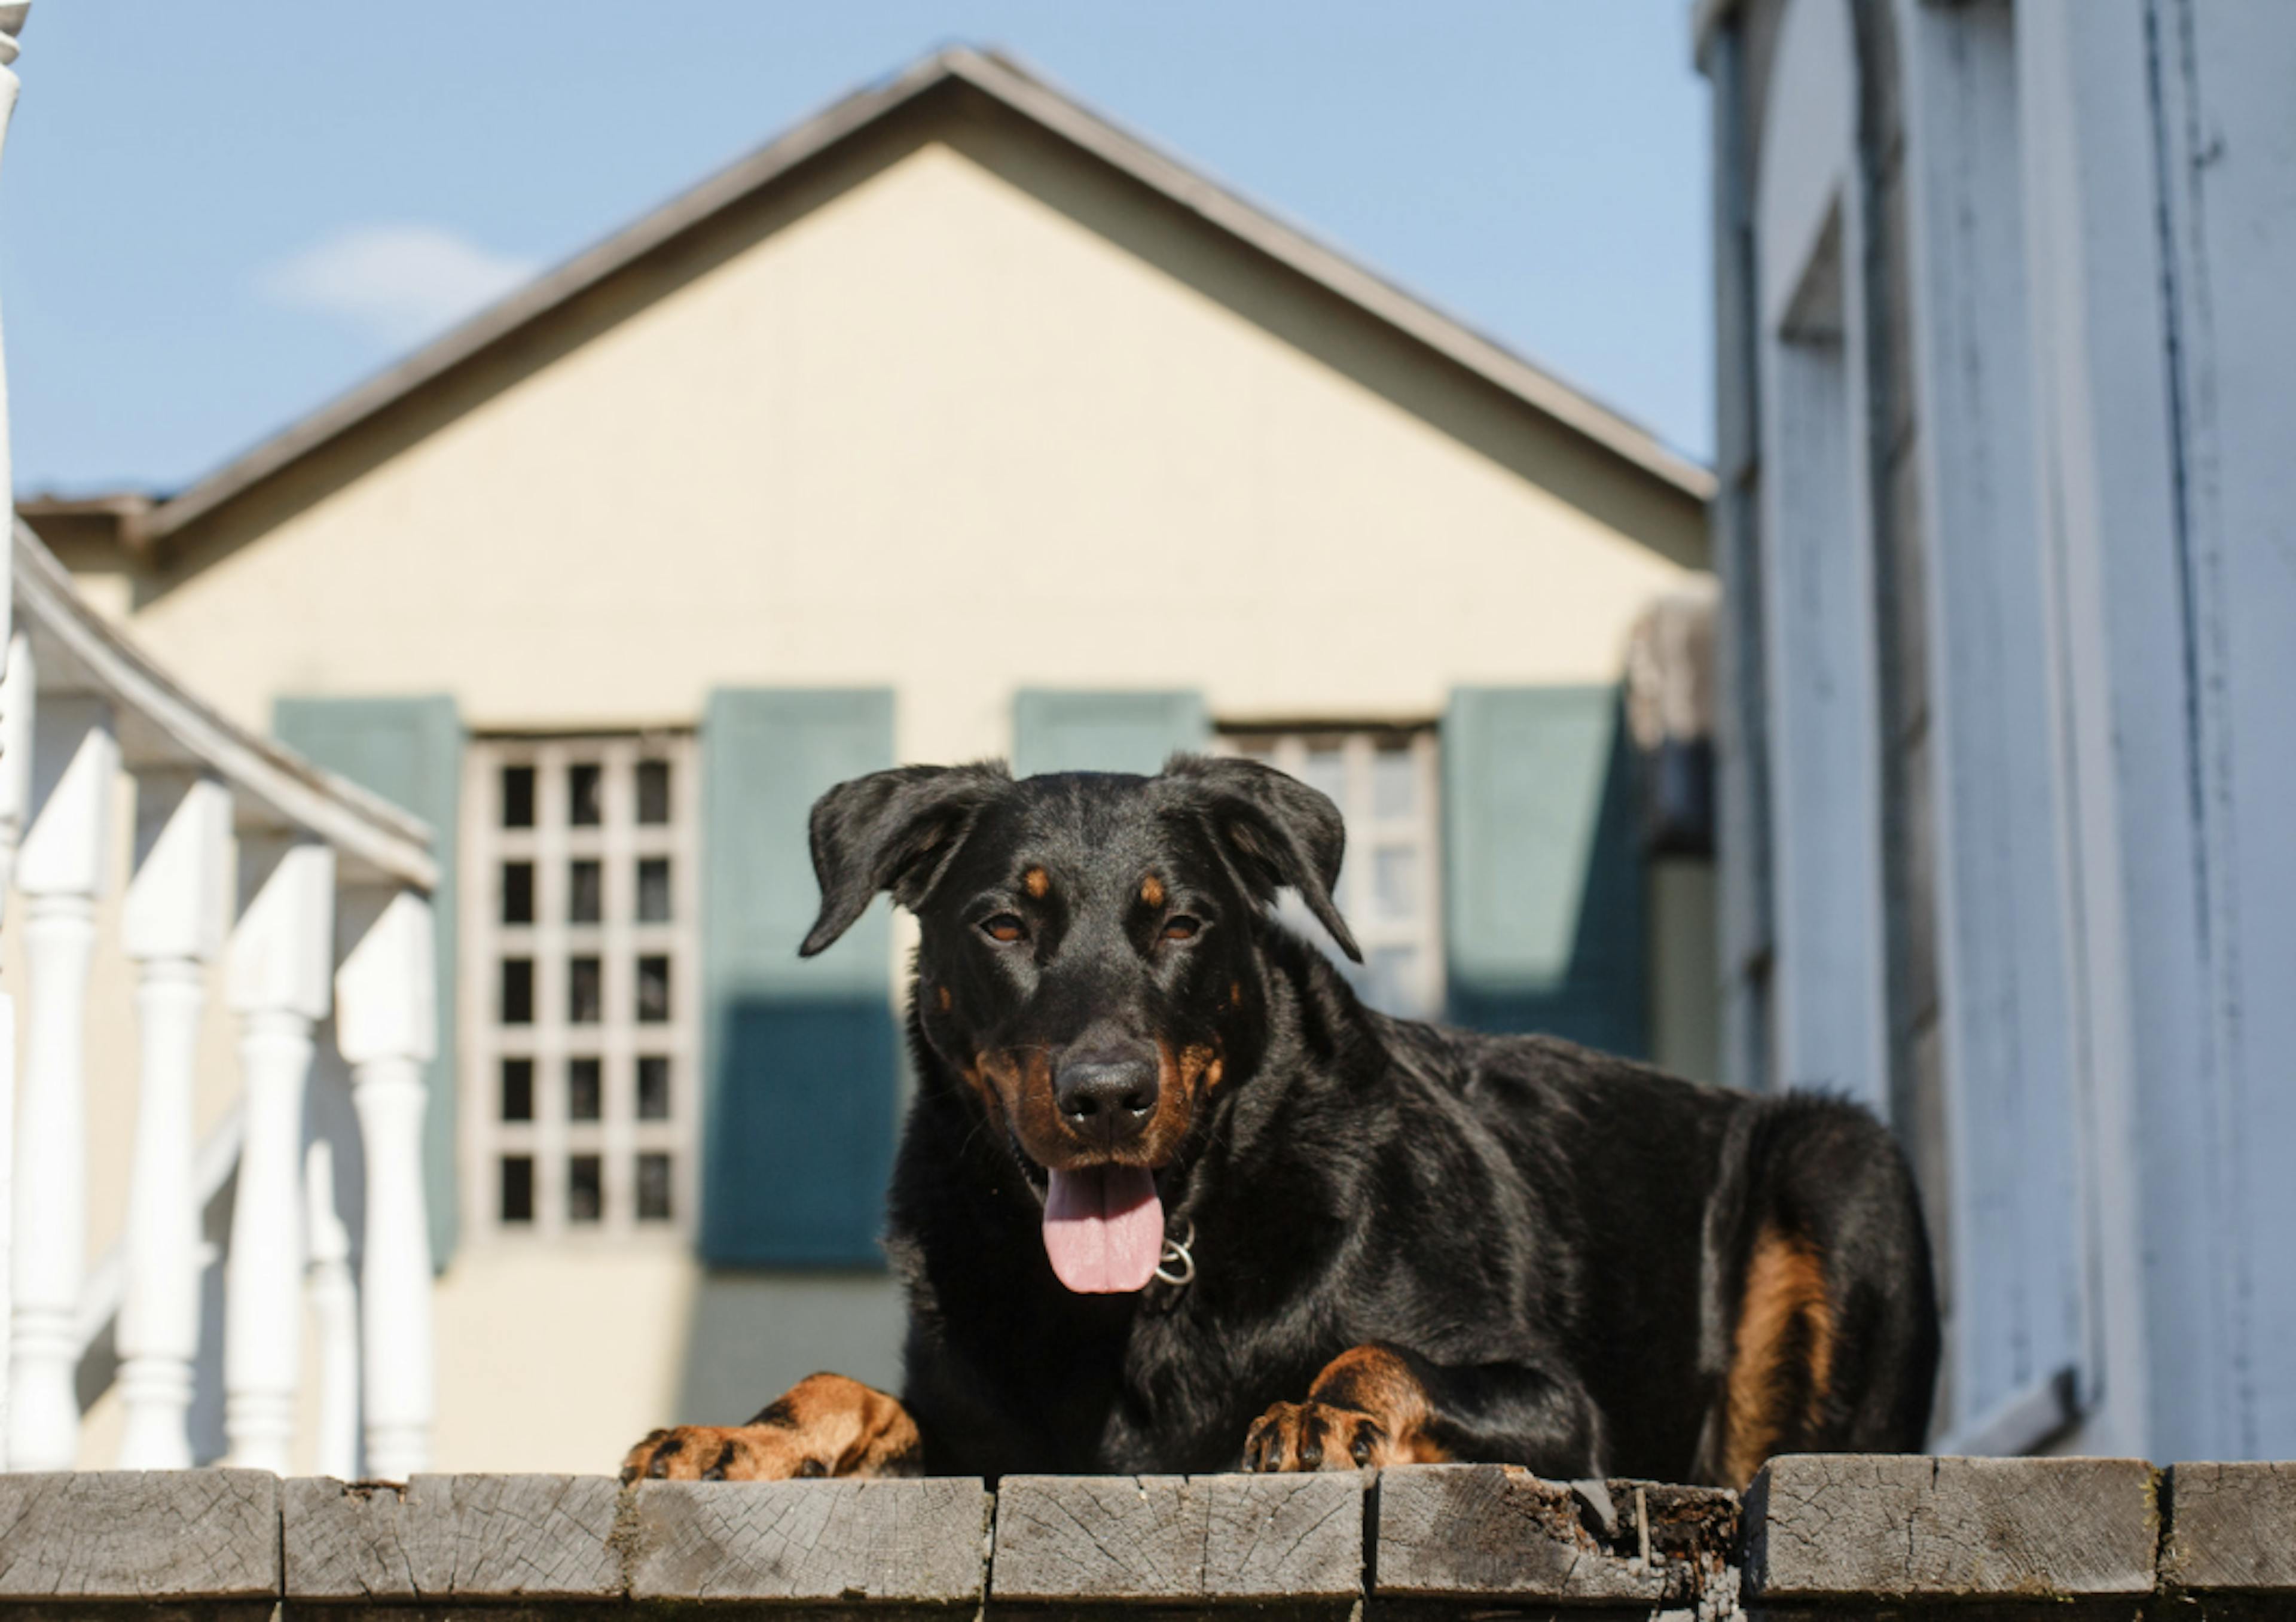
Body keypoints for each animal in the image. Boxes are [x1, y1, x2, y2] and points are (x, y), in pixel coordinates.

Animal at [624, 753, 1937, 1489]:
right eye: (1002, 923)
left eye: (1181, 922)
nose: (1107, 1095)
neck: (1153, 1278)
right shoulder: (983, 1432)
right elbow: (842, 1386)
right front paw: (741, 1436)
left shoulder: (1557, 1403)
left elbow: (1380, 1353)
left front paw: (1325, 1413)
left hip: (1840, 1163)